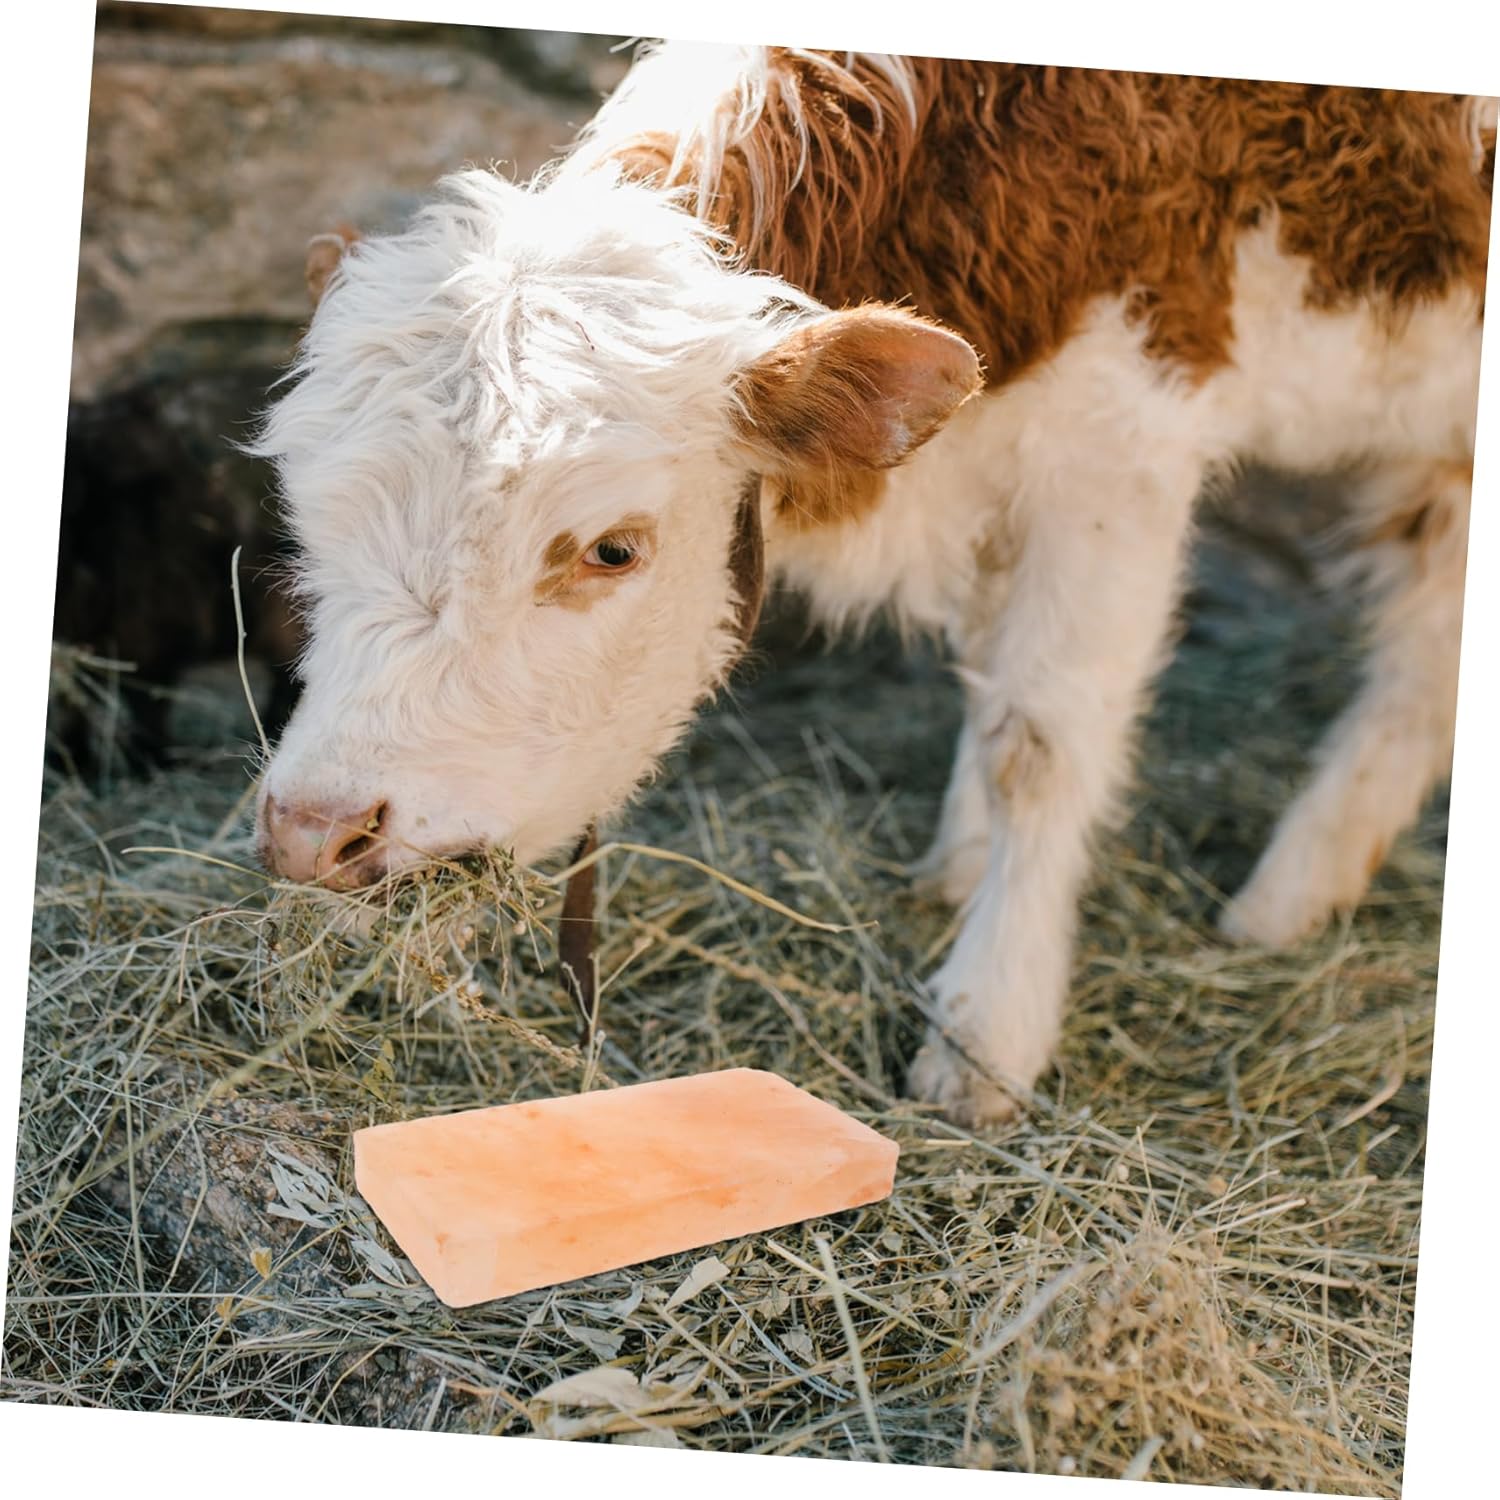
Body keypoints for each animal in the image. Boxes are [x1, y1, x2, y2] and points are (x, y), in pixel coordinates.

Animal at [249, 44, 1494, 1122]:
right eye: (307, 521)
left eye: (611, 550)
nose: (315, 831)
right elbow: (990, 681)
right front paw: (958, 865)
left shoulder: (1122, 439)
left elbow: (1040, 743)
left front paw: (986, 1032)